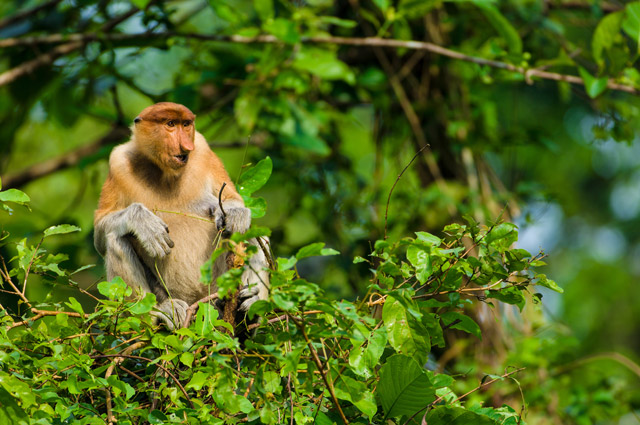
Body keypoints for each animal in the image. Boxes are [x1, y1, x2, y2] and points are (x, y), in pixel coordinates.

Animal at [93, 102, 269, 330]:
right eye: (170, 124)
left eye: (186, 125)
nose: (186, 146)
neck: (166, 172)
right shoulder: (118, 162)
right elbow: (100, 231)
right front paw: (143, 223)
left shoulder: (202, 149)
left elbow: (232, 199)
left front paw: (235, 213)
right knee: (116, 240)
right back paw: (162, 314)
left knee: (254, 238)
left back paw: (247, 313)